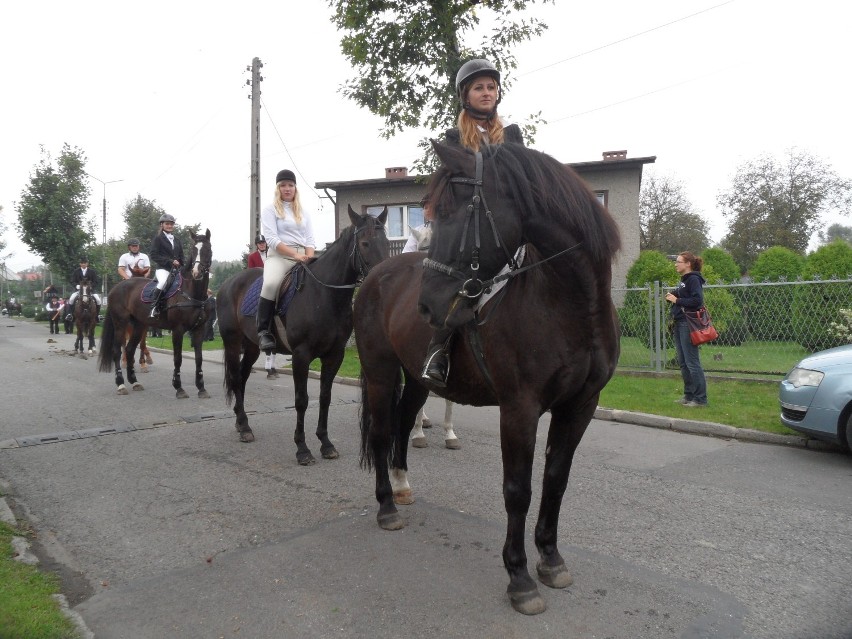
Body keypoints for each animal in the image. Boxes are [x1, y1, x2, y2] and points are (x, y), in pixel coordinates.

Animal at [98, 230, 213, 398]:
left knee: (130, 349)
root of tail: (116, 287)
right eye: (193, 250)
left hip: (138, 326)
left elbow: (199, 358)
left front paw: (201, 388)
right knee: (117, 351)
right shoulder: (178, 330)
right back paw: (121, 384)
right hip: (120, 324)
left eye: (207, 250)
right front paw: (179, 387)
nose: (196, 272)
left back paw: (135, 382)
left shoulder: (199, 330)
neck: (192, 292)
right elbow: (177, 358)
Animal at [218, 210, 392, 464]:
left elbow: (325, 397)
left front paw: (326, 444)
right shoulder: (301, 355)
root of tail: (228, 283)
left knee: (242, 376)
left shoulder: (334, 355)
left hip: (252, 347)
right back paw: (243, 426)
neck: (324, 295)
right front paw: (302, 449)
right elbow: (301, 400)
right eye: (365, 243)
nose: (381, 282)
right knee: (234, 376)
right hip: (232, 343)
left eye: (387, 243)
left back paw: (244, 425)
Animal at [352, 144, 620, 616]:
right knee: (383, 433)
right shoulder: (519, 409)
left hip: (416, 379)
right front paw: (520, 578)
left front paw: (551, 558)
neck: (571, 306)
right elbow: (518, 489)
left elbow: (556, 480)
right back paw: (387, 507)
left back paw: (402, 487)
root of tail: (376, 276)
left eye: (453, 211)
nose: (427, 305)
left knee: (403, 425)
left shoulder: (580, 406)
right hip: (381, 373)